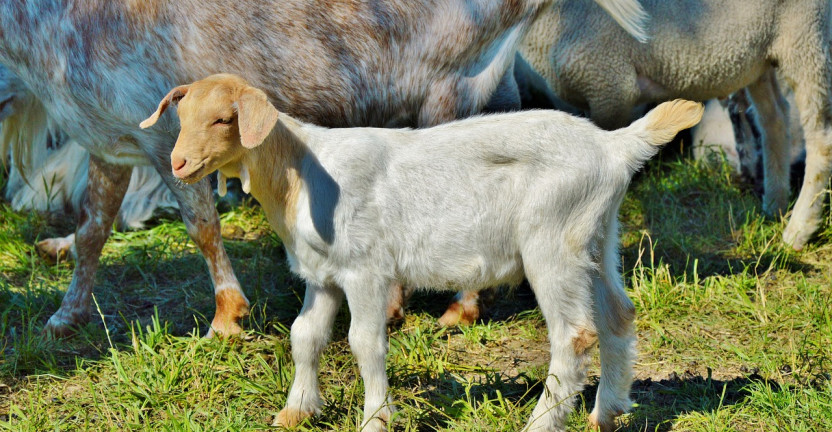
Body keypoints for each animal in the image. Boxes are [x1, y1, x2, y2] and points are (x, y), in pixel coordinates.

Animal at [520, 0, 832, 250]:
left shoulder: (611, 83)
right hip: (763, 57)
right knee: (775, 118)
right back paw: (775, 205)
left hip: (807, 38)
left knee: (820, 138)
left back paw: (799, 228)